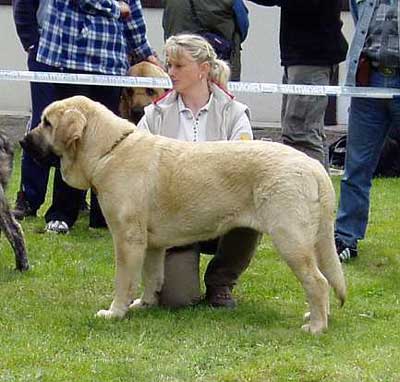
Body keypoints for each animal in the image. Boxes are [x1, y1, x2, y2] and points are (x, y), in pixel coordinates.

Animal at [21, 96, 346, 334]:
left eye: (47, 123)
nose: (23, 140)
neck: (109, 150)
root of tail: (314, 166)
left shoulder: (127, 240)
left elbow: (123, 280)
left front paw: (115, 312)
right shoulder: (151, 244)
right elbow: (151, 276)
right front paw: (144, 304)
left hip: (290, 239)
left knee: (317, 282)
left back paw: (316, 327)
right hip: (310, 241)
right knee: (322, 280)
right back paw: (317, 316)